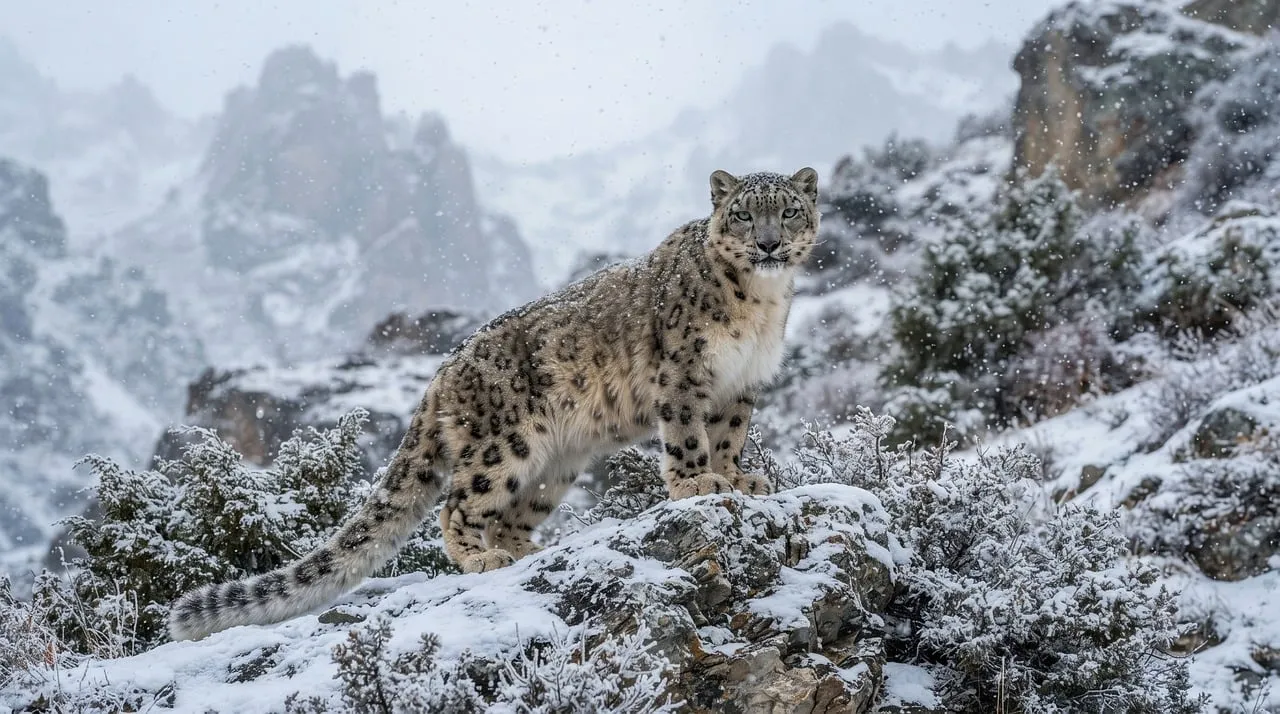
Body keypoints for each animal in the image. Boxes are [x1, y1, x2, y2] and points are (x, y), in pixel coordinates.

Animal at [168, 167, 820, 641]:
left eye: (788, 209)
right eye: (744, 212)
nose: (768, 242)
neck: (759, 305)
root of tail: (443, 370)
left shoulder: (741, 385)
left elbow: (730, 434)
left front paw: (739, 477)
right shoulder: (682, 375)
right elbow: (687, 434)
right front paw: (697, 483)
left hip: (556, 465)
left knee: (510, 512)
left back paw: (525, 547)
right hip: (506, 442)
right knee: (457, 504)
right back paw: (480, 560)